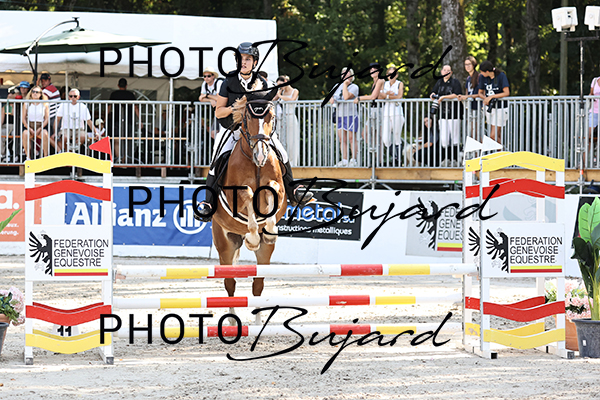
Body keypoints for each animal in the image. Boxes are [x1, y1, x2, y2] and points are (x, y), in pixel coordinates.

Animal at [210, 96, 287, 323]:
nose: (261, 155)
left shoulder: (278, 189)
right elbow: (248, 194)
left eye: (271, 117)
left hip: (265, 252)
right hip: (225, 244)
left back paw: (259, 320)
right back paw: (231, 318)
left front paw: (269, 231)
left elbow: (271, 193)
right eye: (247, 118)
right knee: (230, 284)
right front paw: (252, 237)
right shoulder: (235, 194)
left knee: (257, 285)